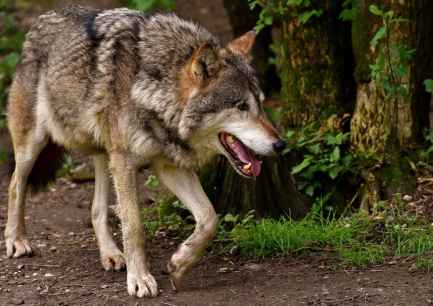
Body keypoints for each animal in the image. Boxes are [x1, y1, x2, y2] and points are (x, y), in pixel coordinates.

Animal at [4, 5, 286, 298]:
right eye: (241, 106)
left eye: (261, 105)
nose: (281, 144)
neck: (154, 90)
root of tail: (42, 19)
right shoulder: (126, 163)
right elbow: (134, 226)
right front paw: (139, 279)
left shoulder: (168, 166)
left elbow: (209, 218)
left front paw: (179, 265)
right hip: (34, 145)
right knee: (15, 185)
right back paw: (16, 240)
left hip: (105, 155)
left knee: (96, 209)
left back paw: (111, 254)